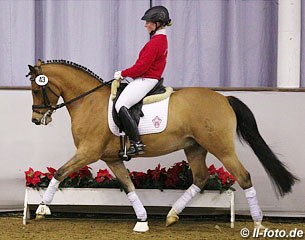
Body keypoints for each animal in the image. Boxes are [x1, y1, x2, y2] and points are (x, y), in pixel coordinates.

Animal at [27, 59, 296, 232]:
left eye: (37, 89)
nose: (36, 120)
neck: (89, 101)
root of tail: (223, 98)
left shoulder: (88, 153)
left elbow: (60, 172)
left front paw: (41, 209)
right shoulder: (111, 158)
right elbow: (128, 186)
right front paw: (142, 221)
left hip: (221, 147)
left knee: (243, 176)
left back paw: (258, 222)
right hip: (194, 147)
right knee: (201, 177)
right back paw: (172, 214)